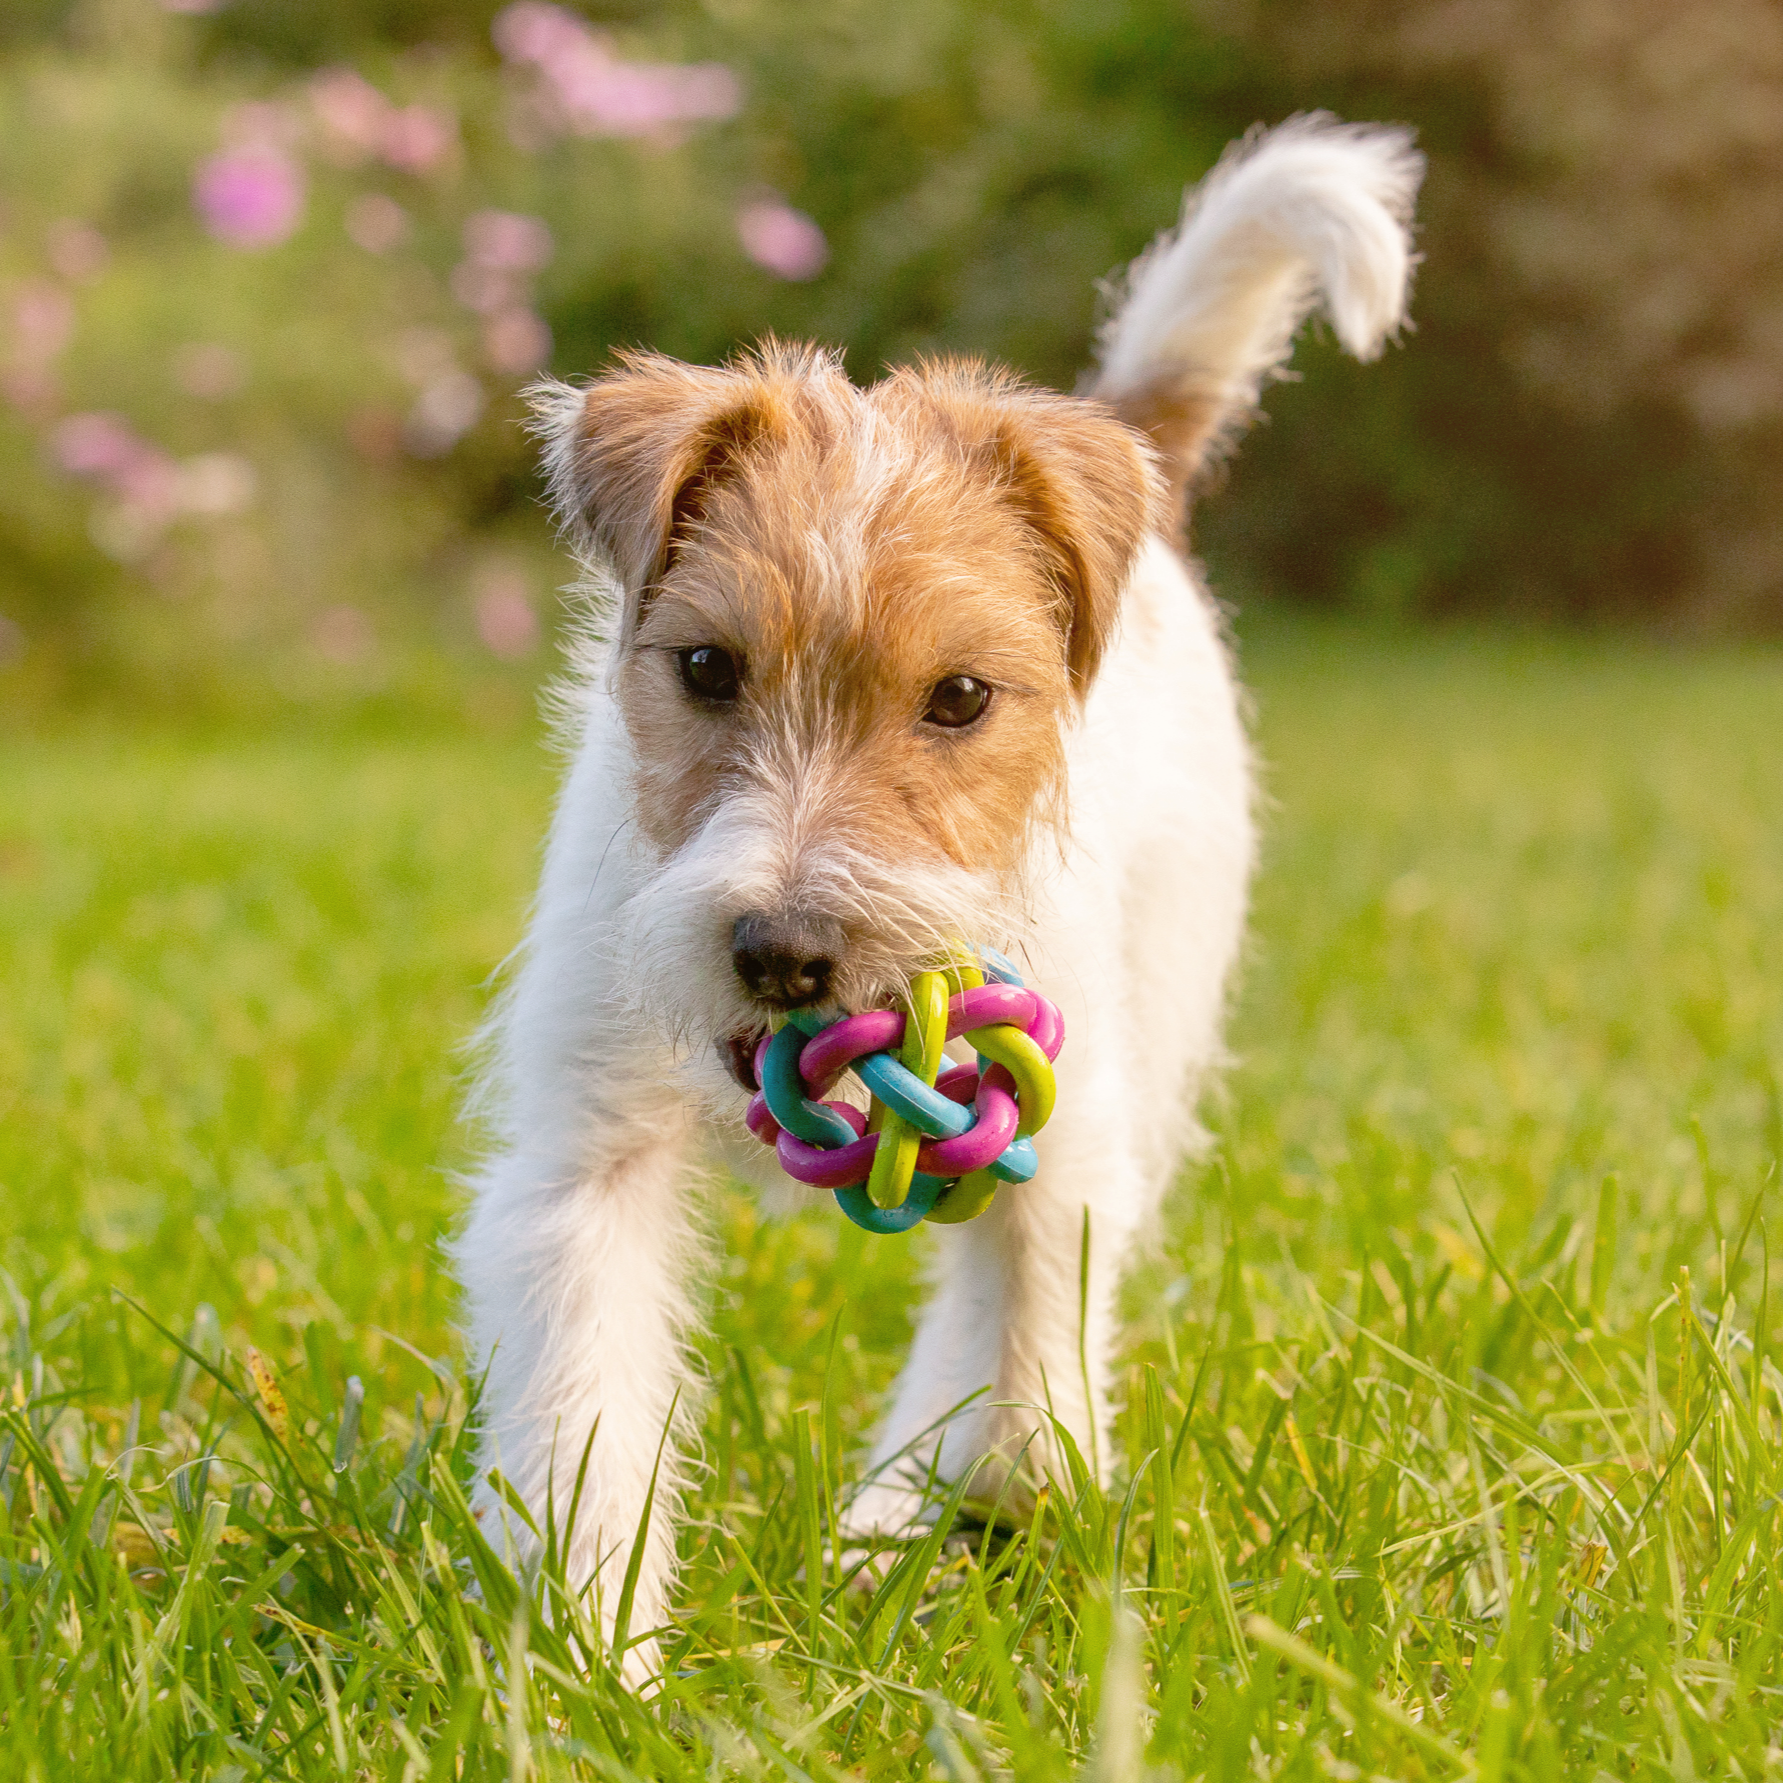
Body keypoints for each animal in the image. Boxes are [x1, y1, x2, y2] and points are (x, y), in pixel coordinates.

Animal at [456, 118, 1419, 1676]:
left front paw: (1009, 1529)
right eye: (706, 668)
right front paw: (592, 1665)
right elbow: (581, 1416)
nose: (784, 952)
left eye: (960, 697)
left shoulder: (1058, 1136)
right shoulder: (584, 1156)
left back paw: (887, 1515)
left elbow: (1025, 1350)